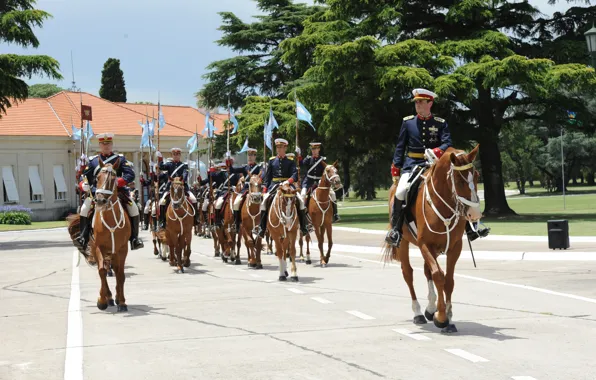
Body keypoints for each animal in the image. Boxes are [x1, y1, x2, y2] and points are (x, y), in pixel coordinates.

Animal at [382, 145, 484, 332]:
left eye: (477, 175)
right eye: (458, 180)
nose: (475, 214)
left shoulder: (455, 247)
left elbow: (448, 279)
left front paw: (448, 318)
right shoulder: (425, 244)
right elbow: (438, 275)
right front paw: (442, 317)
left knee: (426, 270)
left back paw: (430, 308)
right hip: (404, 243)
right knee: (408, 273)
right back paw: (418, 313)